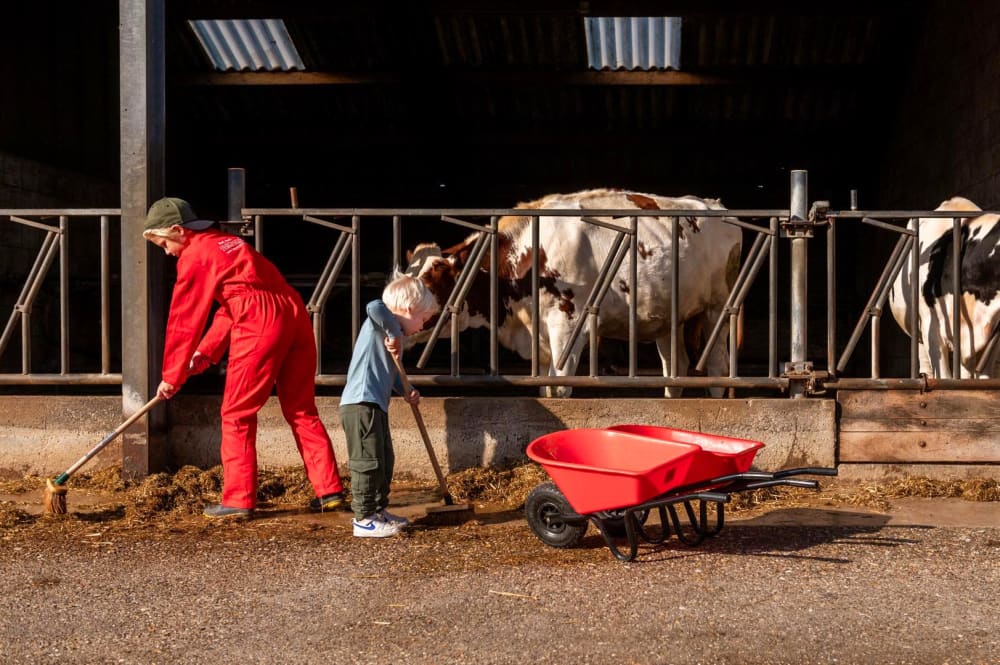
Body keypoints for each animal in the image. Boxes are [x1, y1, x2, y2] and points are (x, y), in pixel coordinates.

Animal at [398, 188, 744, 394]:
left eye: (428, 283)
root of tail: (715, 206)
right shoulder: (538, 336)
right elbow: (544, 386)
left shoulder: (567, 324)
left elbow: (561, 385)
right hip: (668, 316)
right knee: (676, 368)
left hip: (717, 308)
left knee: (717, 368)